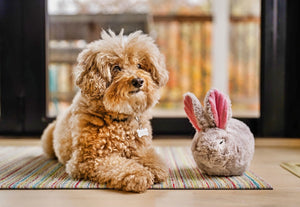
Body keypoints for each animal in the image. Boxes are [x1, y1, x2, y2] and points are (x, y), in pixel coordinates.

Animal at [41, 29, 169, 192]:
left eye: (139, 65)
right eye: (116, 68)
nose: (138, 81)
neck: (119, 119)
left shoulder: (141, 149)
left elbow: (154, 160)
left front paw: (155, 169)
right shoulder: (90, 159)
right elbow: (121, 166)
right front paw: (139, 175)